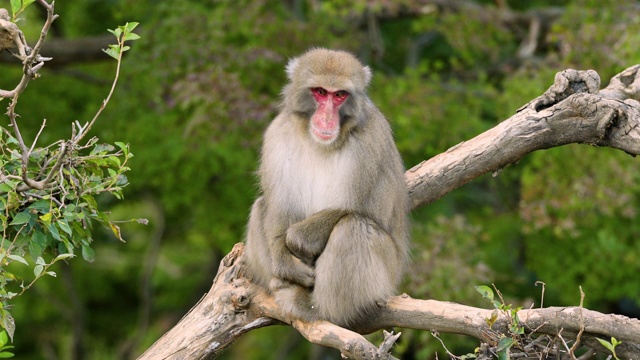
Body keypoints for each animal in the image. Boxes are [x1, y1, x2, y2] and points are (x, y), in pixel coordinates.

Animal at [242, 47, 408, 330]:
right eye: (320, 92)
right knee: (260, 205)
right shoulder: (277, 135)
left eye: (339, 95)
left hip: (386, 274)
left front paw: (300, 238)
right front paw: (286, 262)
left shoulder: (371, 140)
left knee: (353, 227)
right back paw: (280, 282)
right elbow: (280, 203)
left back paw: (315, 309)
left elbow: (357, 209)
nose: (327, 117)